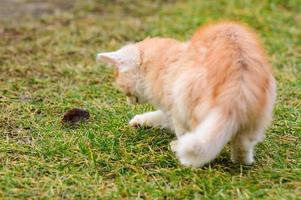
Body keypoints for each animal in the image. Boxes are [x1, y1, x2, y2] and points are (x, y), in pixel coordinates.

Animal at [97, 21, 276, 167]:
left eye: (122, 88)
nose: (129, 102)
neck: (163, 61)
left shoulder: (174, 106)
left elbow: (175, 126)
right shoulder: (171, 109)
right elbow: (159, 116)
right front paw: (139, 120)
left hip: (187, 95)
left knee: (197, 137)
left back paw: (180, 150)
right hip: (256, 116)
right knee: (243, 144)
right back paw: (241, 161)